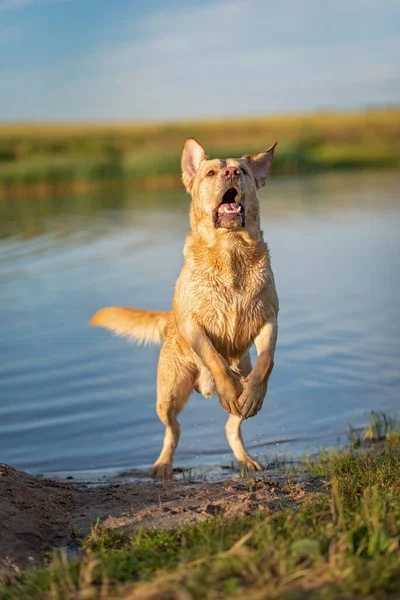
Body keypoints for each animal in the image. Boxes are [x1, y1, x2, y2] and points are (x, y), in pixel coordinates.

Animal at [90, 138, 278, 480]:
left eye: (242, 171)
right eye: (211, 172)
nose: (231, 173)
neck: (230, 250)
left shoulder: (269, 320)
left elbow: (265, 361)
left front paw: (251, 394)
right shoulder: (193, 325)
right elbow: (215, 359)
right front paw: (227, 386)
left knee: (232, 427)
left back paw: (245, 457)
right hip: (168, 394)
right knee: (173, 430)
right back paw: (163, 465)